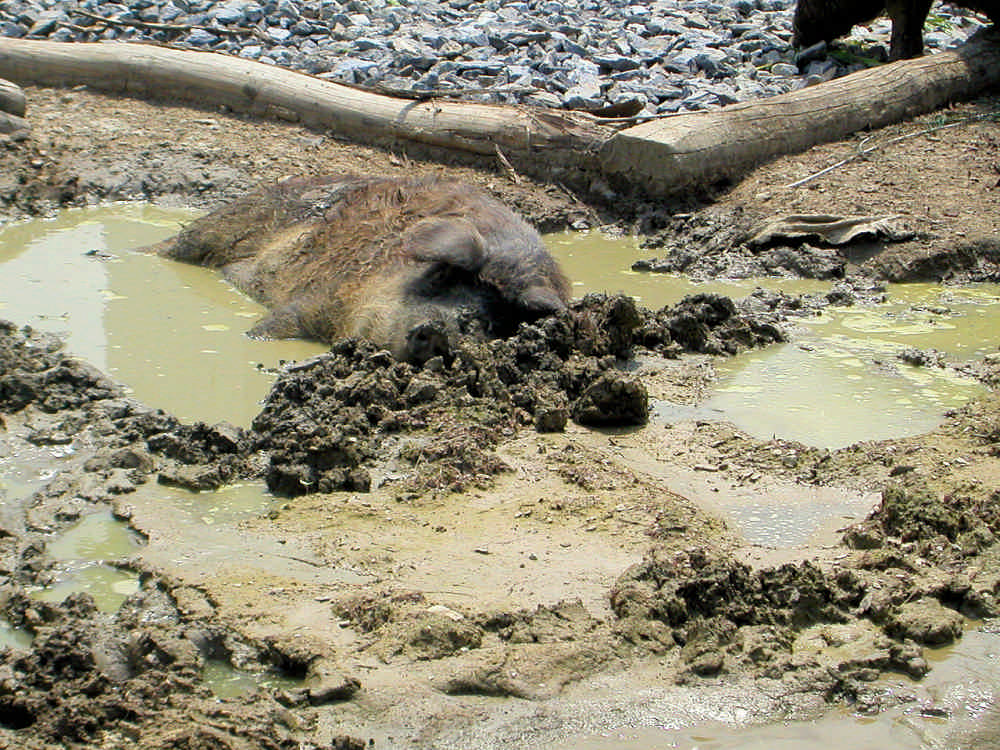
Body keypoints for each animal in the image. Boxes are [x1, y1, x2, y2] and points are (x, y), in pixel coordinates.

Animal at [146, 175, 576, 366]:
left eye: (496, 322)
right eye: (442, 276)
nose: (440, 330)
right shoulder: (316, 296)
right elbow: (271, 327)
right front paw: (252, 339)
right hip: (223, 223)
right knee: (170, 246)